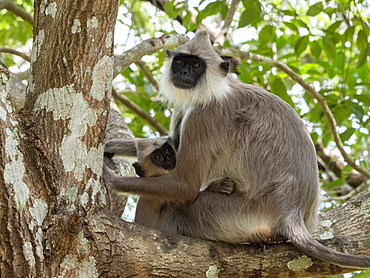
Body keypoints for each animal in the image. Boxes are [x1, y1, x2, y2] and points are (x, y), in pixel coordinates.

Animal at [103, 29, 370, 268]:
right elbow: (172, 141)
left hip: (239, 215)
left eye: (196, 65)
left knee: (186, 207)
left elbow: (186, 186)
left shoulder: (203, 115)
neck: (217, 89)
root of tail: (291, 212)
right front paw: (110, 146)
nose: (183, 72)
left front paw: (112, 180)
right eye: (179, 61)